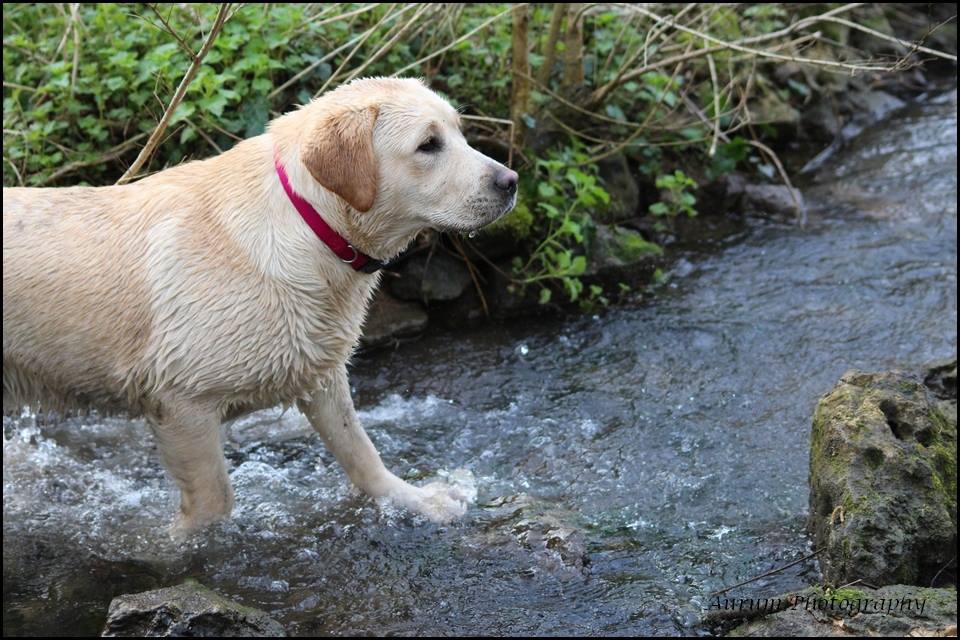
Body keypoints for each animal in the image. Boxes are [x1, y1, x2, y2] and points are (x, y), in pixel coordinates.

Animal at [1, 75, 516, 536]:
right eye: (428, 145)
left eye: (460, 132)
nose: (511, 180)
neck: (309, 223)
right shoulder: (181, 403)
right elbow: (214, 503)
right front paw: (169, 551)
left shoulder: (321, 375)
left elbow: (363, 454)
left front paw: (420, 501)